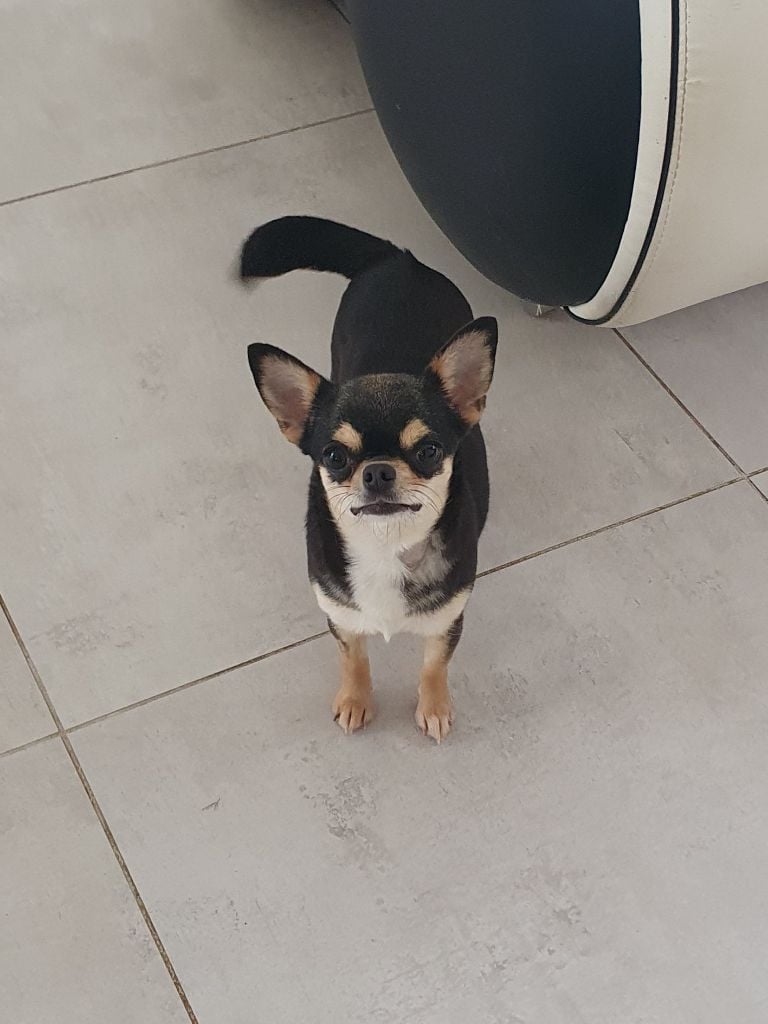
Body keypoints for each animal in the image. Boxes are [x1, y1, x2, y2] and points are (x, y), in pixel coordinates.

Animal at [241, 217, 497, 741]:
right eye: (335, 456)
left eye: (429, 451)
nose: (378, 470)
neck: (385, 544)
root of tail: (398, 258)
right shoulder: (340, 615)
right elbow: (354, 657)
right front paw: (356, 700)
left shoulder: (447, 619)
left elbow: (434, 665)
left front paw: (434, 706)